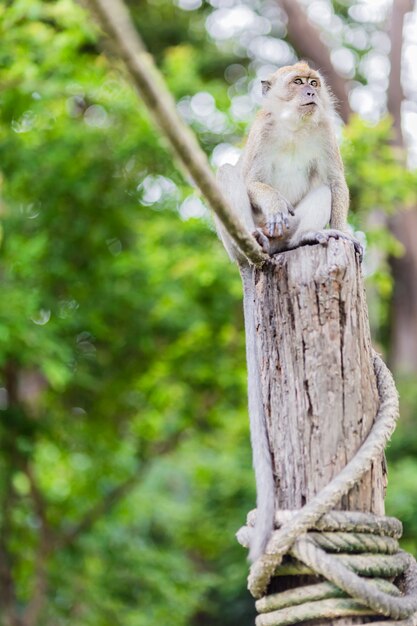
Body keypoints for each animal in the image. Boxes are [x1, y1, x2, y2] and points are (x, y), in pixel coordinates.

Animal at [216, 62, 360, 560]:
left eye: (312, 81)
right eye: (298, 83)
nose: (312, 91)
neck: (296, 125)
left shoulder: (326, 133)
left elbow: (334, 184)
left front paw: (345, 234)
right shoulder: (263, 130)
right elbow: (250, 178)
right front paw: (274, 203)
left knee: (318, 192)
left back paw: (305, 239)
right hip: (241, 237)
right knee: (226, 173)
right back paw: (262, 239)